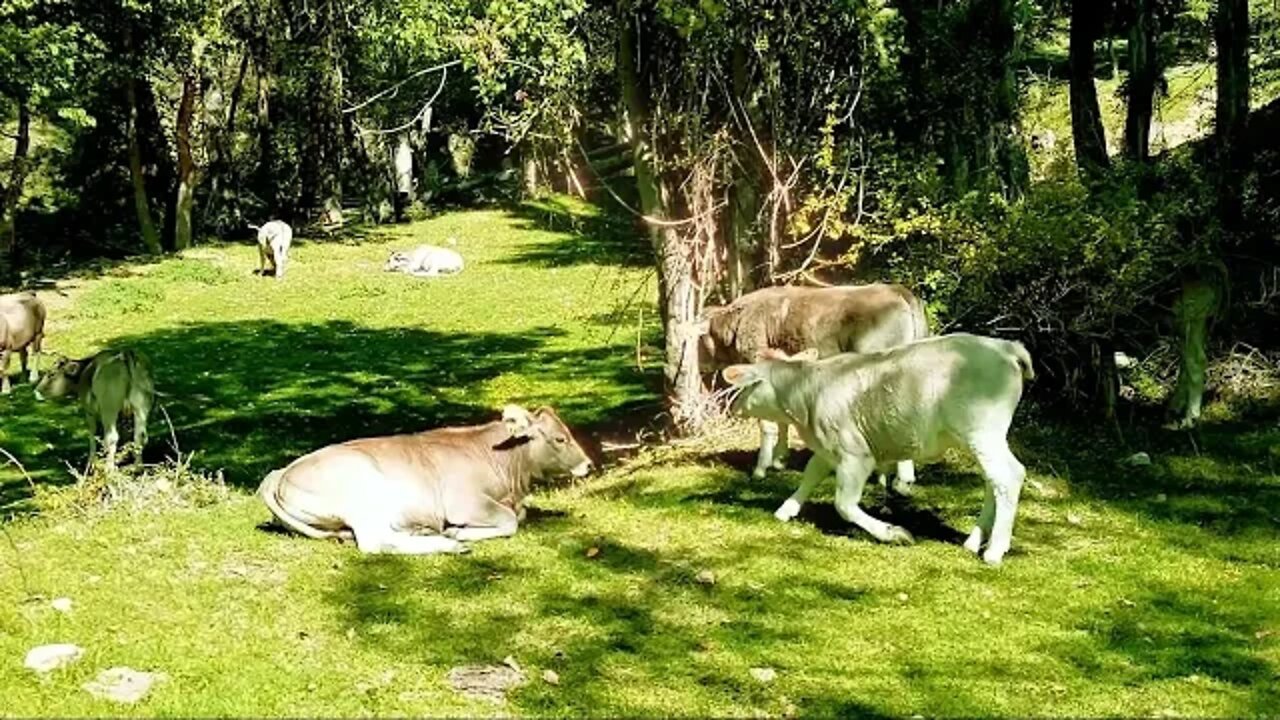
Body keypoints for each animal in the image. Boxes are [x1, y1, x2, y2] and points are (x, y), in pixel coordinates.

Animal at [261, 407, 599, 550]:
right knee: (373, 542)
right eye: (559, 439)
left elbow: (521, 514)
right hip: (364, 493)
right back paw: (448, 543)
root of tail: (280, 473)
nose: (588, 465)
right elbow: (510, 521)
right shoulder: (465, 502)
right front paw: (459, 532)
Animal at [727, 333, 1034, 563]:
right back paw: (974, 541)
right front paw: (786, 509)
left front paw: (893, 533)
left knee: (1009, 476)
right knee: (993, 482)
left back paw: (994, 550)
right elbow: (811, 474)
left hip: (982, 433)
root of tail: (1005, 346)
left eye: (745, 386)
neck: (808, 392)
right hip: (977, 439)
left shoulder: (856, 454)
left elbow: (844, 505)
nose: (732, 407)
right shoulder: (829, 448)